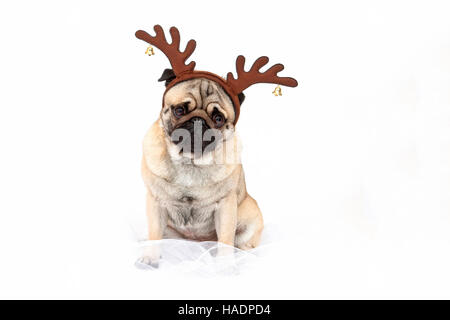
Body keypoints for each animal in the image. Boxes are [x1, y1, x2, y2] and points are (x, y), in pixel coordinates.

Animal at [139, 74, 262, 266]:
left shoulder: (225, 206)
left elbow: (225, 238)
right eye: (179, 110)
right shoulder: (155, 202)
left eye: (218, 118)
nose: (199, 120)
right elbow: (154, 234)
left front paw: (225, 263)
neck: (190, 161)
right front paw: (150, 256)